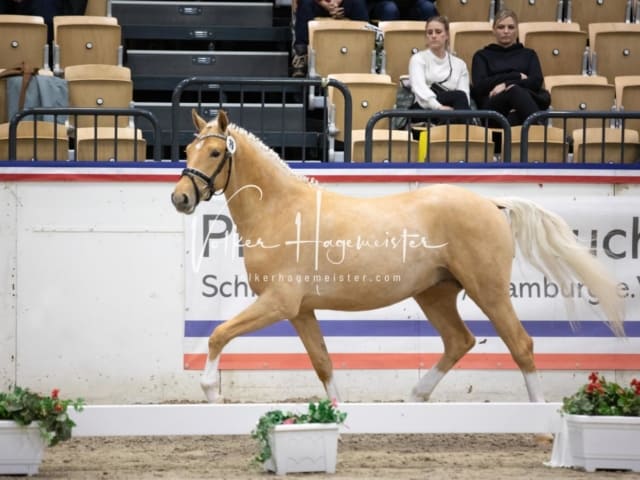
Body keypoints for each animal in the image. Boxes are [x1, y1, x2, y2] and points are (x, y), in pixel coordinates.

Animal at [171, 110, 624, 404]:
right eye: (188, 150)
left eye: (215, 153)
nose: (180, 198)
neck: (282, 211)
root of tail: (492, 203)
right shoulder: (300, 311)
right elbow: (323, 363)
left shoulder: (278, 303)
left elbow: (218, 334)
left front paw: (210, 391)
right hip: (435, 293)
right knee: (459, 341)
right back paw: (415, 397)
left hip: (489, 290)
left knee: (521, 344)